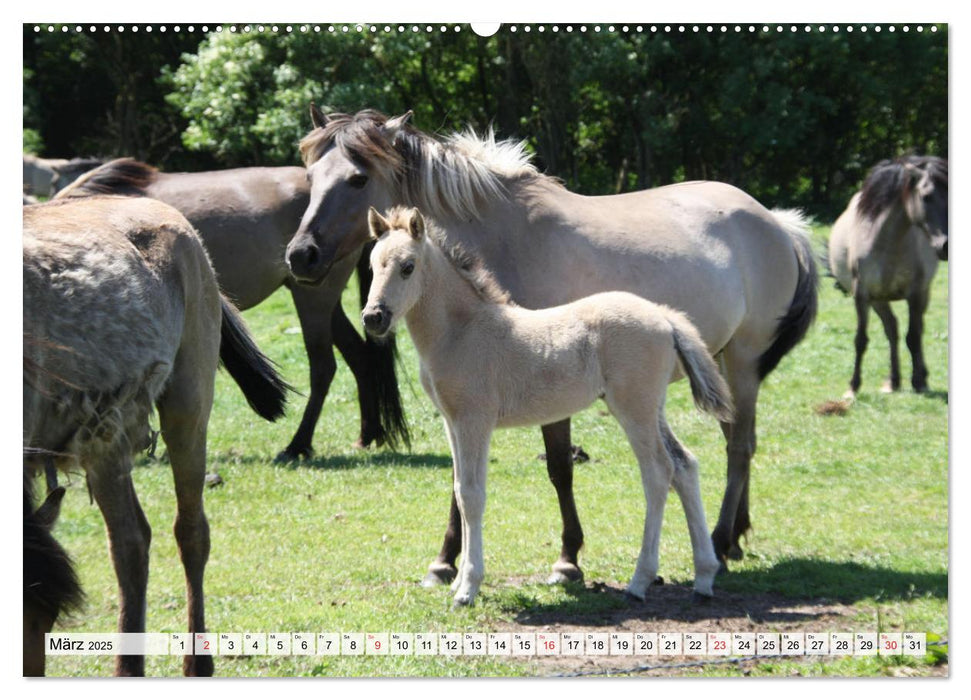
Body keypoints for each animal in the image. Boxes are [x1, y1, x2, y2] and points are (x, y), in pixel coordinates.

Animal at [22, 194, 288, 676]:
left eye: (47, 620)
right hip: (104, 440)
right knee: (132, 541)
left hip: (185, 411)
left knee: (188, 533)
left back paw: (194, 662)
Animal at [58, 157, 406, 460]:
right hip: (317, 297)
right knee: (358, 356)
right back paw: (367, 435)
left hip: (314, 299)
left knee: (323, 368)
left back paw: (298, 445)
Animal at [366, 208, 736, 608]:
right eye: (371, 265)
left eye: (408, 267)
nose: (373, 318)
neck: (462, 331)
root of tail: (665, 316)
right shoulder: (452, 422)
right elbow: (460, 492)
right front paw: (457, 581)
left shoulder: (474, 420)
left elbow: (472, 495)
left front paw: (467, 589)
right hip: (654, 408)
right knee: (685, 464)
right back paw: (704, 576)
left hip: (633, 407)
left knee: (657, 471)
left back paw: (639, 581)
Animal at [828, 157, 948, 396]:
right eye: (926, 196)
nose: (945, 246)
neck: (887, 242)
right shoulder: (862, 295)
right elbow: (861, 339)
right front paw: (853, 386)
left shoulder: (915, 294)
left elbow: (914, 337)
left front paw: (918, 381)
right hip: (879, 301)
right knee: (892, 329)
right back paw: (894, 380)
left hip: (922, 294)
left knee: (914, 329)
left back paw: (918, 376)